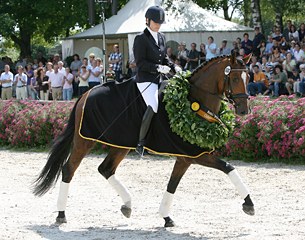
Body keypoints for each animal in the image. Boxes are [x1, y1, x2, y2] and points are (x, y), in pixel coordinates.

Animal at [32, 54, 254, 227]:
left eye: (248, 76)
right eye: (235, 78)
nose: (244, 110)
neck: (193, 100)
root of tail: (86, 93)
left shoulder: (186, 157)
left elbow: (173, 184)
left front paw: (166, 217)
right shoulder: (194, 155)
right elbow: (228, 167)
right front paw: (249, 204)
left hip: (121, 144)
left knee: (106, 169)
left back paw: (127, 205)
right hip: (84, 141)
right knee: (69, 169)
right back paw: (61, 215)